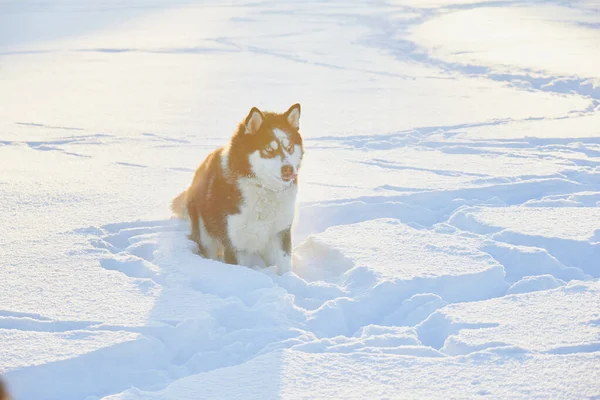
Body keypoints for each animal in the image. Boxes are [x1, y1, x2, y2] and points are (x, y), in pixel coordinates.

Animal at [172, 103, 304, 276]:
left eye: (289, 147)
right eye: (269, 149)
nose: (289, 169)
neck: (263, 189)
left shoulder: (280, 233)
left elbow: (284, 267)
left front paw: (289, 279)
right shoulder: (235, 244)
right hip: (206, 236)